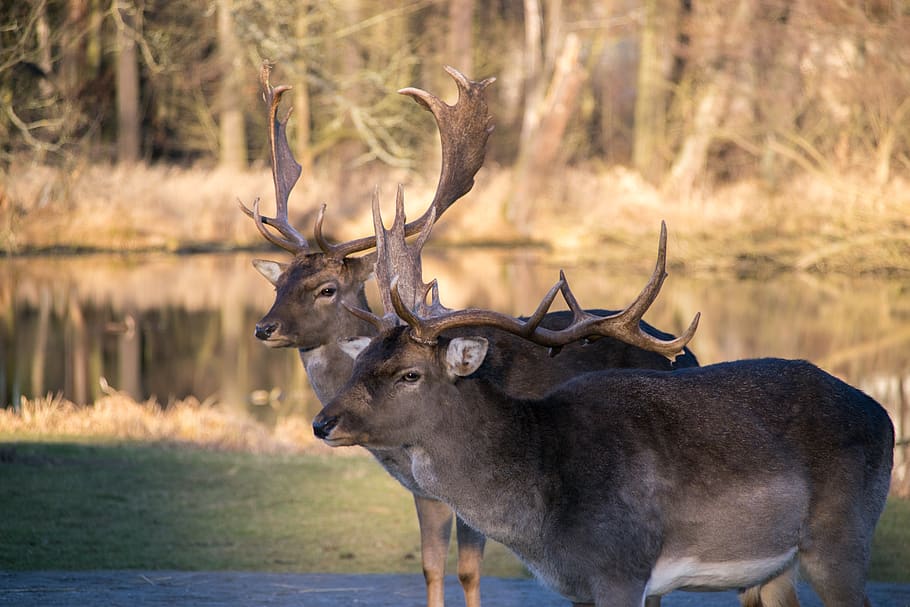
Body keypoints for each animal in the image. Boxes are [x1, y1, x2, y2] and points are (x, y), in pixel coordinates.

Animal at [242, 63, 710, 607]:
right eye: (279, 282)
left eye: (326, 289)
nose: (264, 327)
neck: (397, 451)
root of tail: (688, 354)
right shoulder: (423, 492)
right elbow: (429, 566)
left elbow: (467, 570)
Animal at [314, 220, 894, 607]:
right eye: (361, 359)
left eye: (410, 374)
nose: (322, 422)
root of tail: (884, 415)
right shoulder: (577, 586)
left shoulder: (622, 568)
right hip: (774, 567)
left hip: (842, 537)